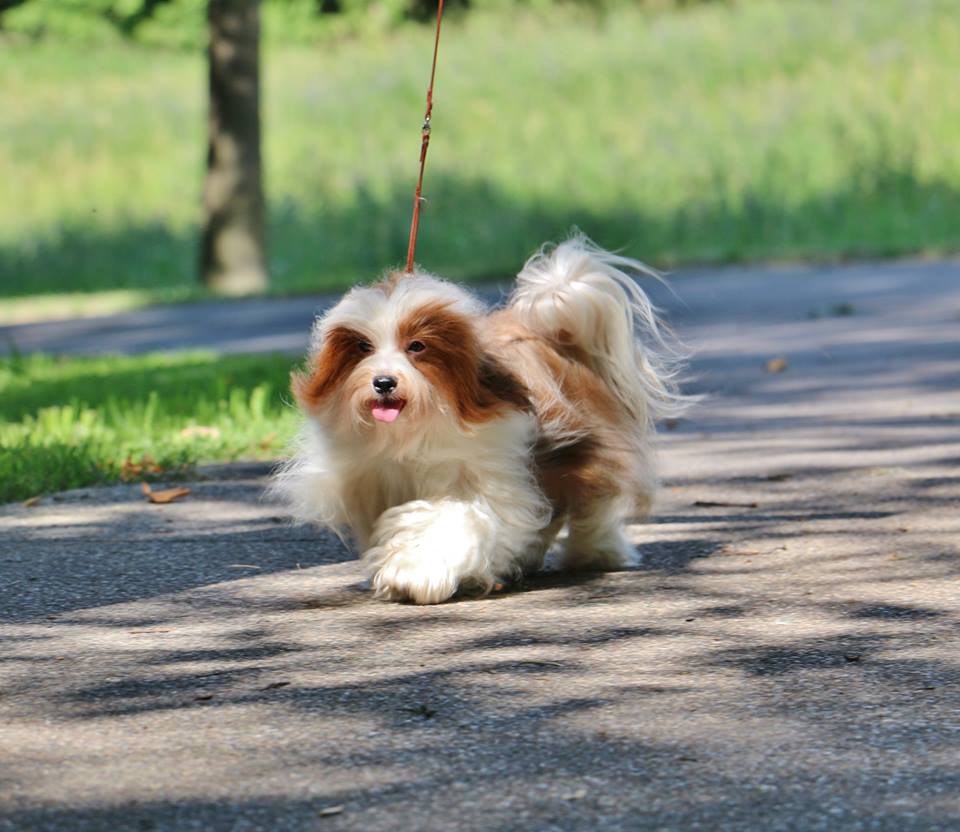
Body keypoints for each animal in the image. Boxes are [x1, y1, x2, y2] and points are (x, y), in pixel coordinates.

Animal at [274, 234, 688, 604]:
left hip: (589, 450)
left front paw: (414, 573)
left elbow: (456, 521)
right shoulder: (375, 483)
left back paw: (598, 553)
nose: (384, 382)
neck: (416, 428)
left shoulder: (491, 480)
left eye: (417, 346)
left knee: (594, 504)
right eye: (363, 347)